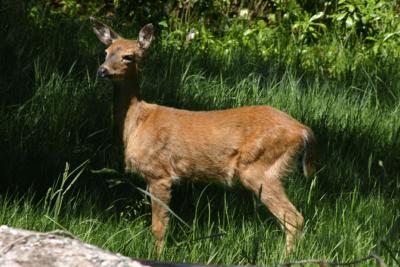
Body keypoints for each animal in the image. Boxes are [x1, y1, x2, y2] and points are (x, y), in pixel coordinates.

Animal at [90, 16, 316, 255]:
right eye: (106, 51)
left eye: (128, 56)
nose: (102, 70)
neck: (136, 123)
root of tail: (302, 129)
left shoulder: (159, 173)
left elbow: (159, 226)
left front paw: (157, 254)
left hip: (261, 167)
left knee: (293, 218)